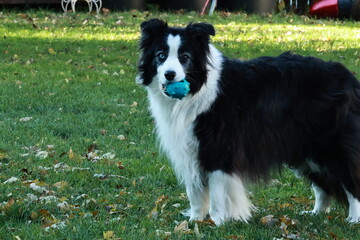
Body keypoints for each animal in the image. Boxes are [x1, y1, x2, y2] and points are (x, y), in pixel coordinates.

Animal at [136, 18, 360, 225]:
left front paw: (217, 222)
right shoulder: (190, 148)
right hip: (307, 149)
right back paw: (315, 214)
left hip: (332, 145)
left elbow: (217, 191)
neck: (198, 88)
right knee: (323, 186)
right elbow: (195, 192)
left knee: (350, 181)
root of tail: (348, 77)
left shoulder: (219, 148)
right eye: (161, 56)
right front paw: (195, 221)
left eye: (185, 57)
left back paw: (353, 219)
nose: (170, 75)